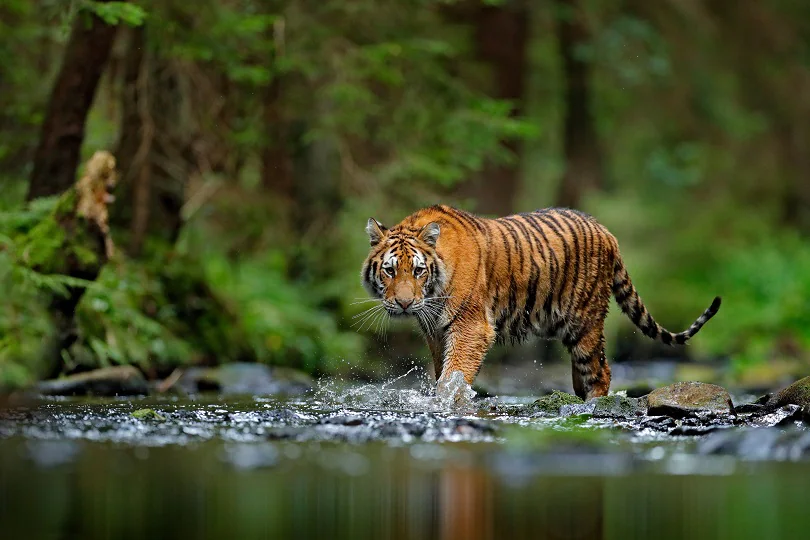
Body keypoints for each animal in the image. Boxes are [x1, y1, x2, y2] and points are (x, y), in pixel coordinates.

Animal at [360, 204, 721, 400]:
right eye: (390, 271)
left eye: (418, 271)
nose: (404, 304)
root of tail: (606, 231)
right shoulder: (435, 332)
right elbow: (442, 372)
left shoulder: (470, 327)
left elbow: (454, 375)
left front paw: (448, 402)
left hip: (585, 322)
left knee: (600, 371)